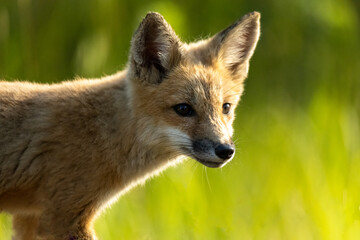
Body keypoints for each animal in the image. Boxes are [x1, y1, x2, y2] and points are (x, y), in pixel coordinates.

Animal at [0, 11, 258, 240]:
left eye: (226, 107)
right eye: (183, 109)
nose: (225, 150)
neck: (102, 134)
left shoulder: (29, 217)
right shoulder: (63, 217)